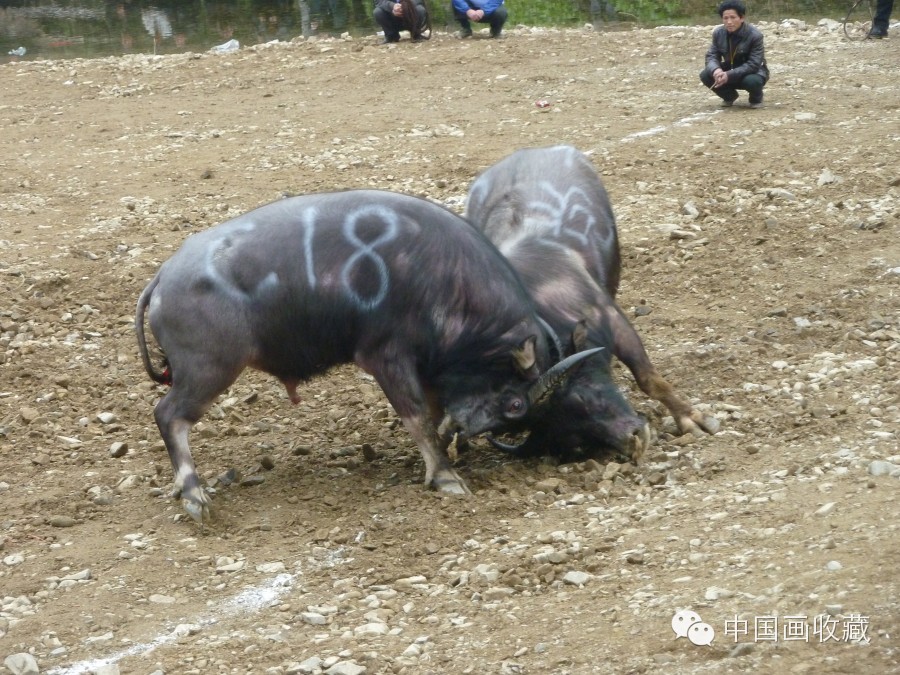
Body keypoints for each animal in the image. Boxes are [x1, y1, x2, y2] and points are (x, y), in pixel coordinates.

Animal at [134, 190, 596, 524]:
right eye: (516, 404)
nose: (469, 430)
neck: (446, 279)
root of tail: (164, 276)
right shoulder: (387, 358)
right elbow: (418, 418)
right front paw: (446, 476)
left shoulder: (428, 370)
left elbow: (432, 414)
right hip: (208, 371)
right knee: (169, 415)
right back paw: (194, 495)